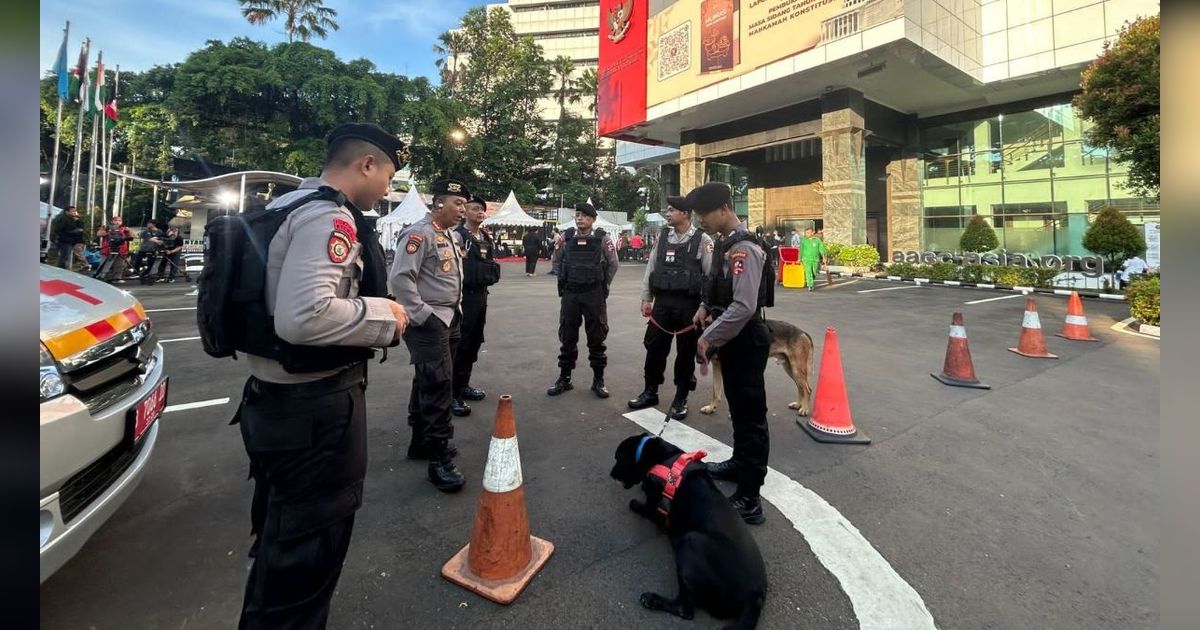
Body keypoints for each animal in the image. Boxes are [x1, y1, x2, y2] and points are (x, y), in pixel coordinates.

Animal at [609, 432, 768, 628]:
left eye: (618, 458)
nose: (611, 474)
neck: (658, 455)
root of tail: (754, 598)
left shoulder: (653, 499)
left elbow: (646, 507)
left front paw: (637, 504)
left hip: (691, 543)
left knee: (685, 609)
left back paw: (653, 599)